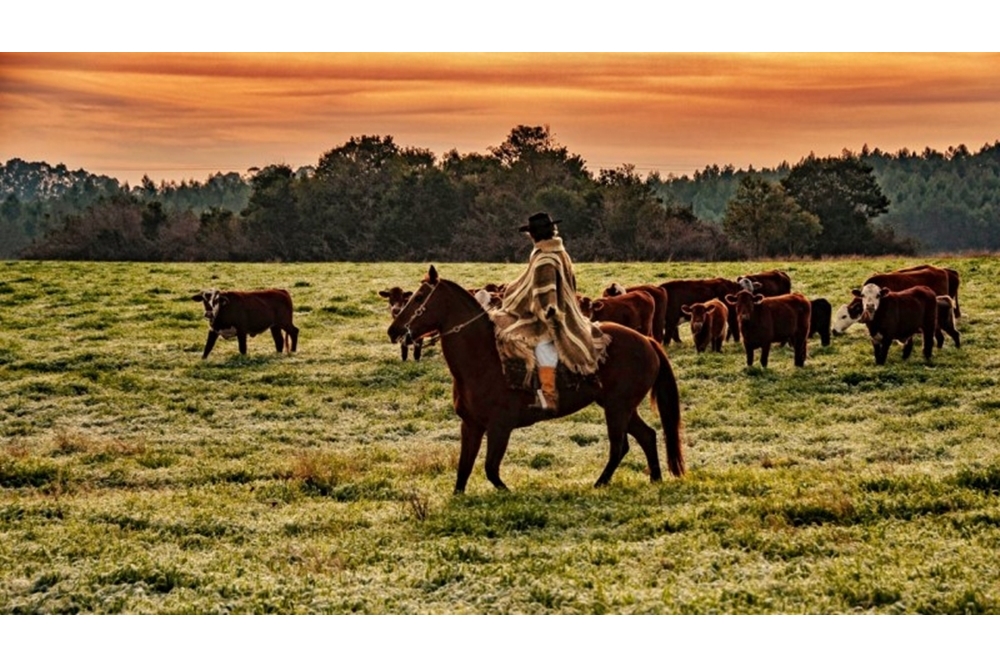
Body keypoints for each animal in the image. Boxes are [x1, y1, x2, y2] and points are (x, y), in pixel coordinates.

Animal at [386, 268, 684, 496]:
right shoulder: (470, 426)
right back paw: (655, 479)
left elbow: (491, 470)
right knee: (647, 435)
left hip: (618, 408)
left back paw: (600, 483)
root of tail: (647, 340)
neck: (484, 360)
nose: (394, 330)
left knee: (619, 446)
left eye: (420, 297)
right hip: (621, 407)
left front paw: (510, 494)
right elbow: (464, 470)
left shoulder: (500, 427)